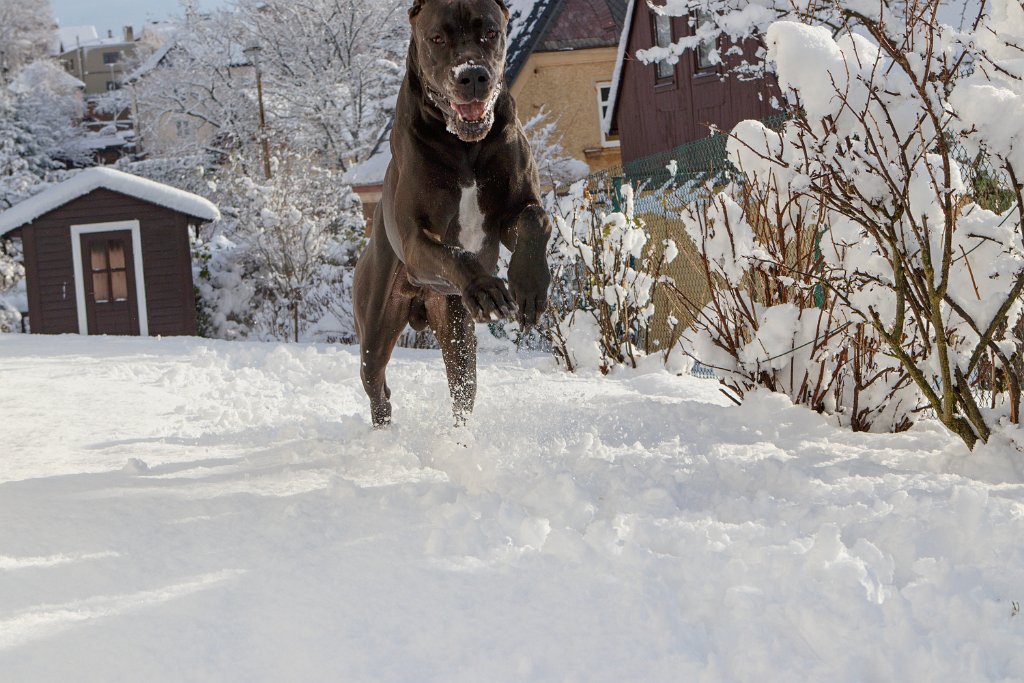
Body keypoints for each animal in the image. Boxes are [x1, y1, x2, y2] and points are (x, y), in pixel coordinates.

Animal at [356, 0, 557, 428]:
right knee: (376, 385)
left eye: (490, 32)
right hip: (376, 328)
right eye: (437, 38)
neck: (463, 144)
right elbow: (455, 253)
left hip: (455, 327)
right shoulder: (416, 241)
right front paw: (486, 288)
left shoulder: (512, 213)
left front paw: (529, 287)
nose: (473, 75)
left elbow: (535, 219)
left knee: (462, 389)